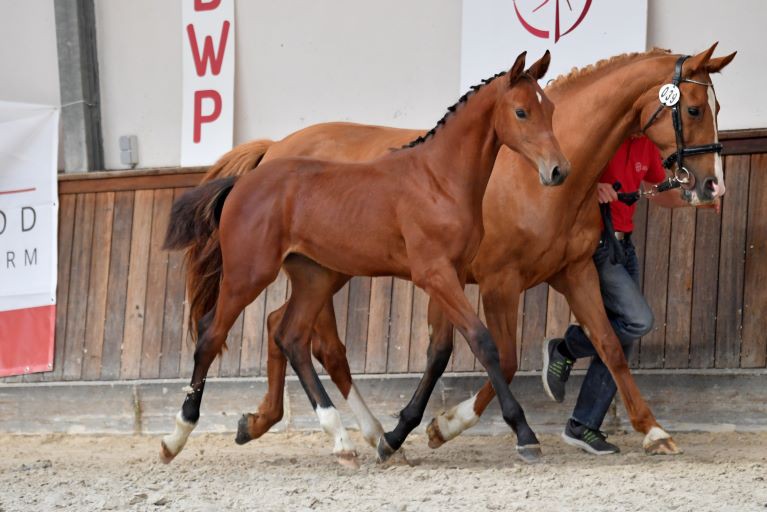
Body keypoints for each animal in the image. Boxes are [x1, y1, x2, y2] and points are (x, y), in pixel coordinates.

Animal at [162, 53, 568, 468]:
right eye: (521, 111)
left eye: (549, 109)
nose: (557, 170)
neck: (438, 180)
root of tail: (242, 183)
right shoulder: (435, 274)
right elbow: (483, 343)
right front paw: (525, 435)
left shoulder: (449, 274)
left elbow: (440, 352)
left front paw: (396, 437)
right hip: (248, 275)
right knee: (211, 335)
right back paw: (176, 437)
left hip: (314, 276)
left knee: (290, 336)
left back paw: (339, 438)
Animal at [201, 43, 736, 460]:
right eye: (693, 108)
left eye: (716, 107)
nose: (712, 186)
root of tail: (274, 150)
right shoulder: (497, 282)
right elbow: (504, 355)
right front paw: (449, 426)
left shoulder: (574, 271)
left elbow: (607, 345)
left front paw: (654, 430)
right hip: (321, 272)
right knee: (315, 342)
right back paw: (342, 432)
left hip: (324, 271)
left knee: (284, 330)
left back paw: (267, 423)